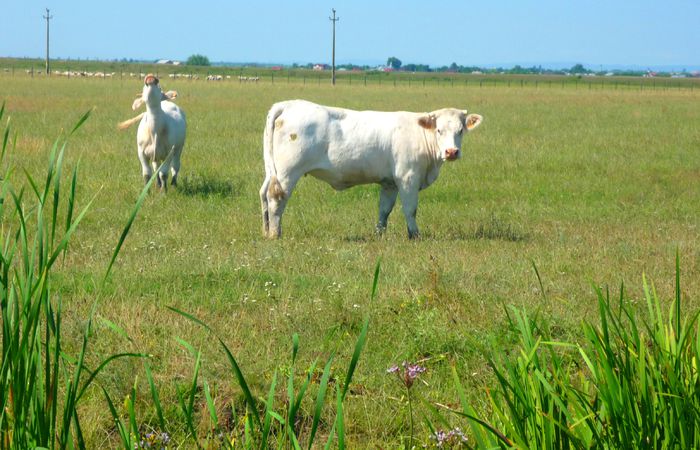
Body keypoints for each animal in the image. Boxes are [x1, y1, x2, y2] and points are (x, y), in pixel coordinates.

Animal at [260, 99, 484, 239]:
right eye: (439, 130)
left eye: (460, 130)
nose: (451, 152)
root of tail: (289, 104)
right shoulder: (408, 178)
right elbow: (410, 209)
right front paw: (415, 235)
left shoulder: (390, 183)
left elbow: (384, 210)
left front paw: (379, 234)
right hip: (288, 172)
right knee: (275, 197)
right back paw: (275, 233)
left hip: (273, 171)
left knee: (263, 194)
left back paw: (266, 230)